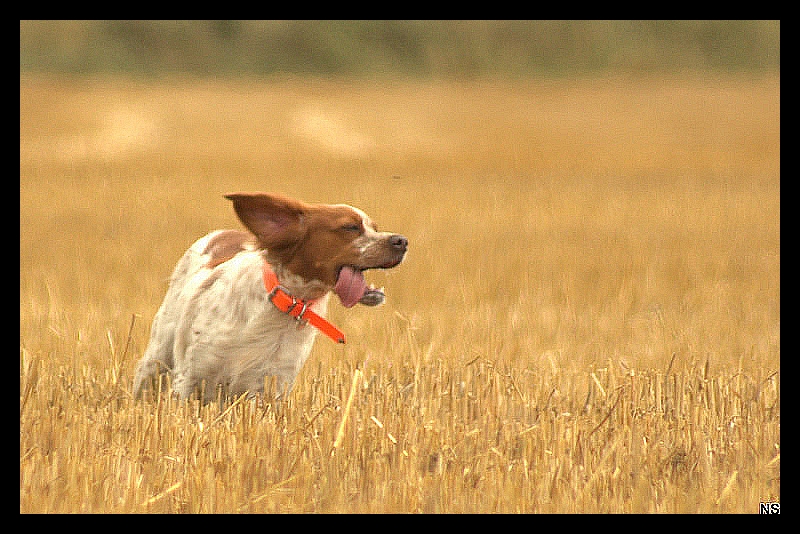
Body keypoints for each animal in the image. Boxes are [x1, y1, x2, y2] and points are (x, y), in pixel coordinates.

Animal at [134, 193, 406, 402]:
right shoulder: (190, 379)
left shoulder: (268, 386)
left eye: (375, 228)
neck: (285, 305)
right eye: (350, 227)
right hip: (157, 356)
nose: (401, 240)